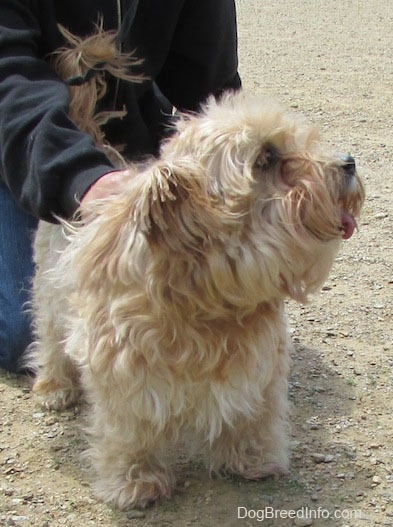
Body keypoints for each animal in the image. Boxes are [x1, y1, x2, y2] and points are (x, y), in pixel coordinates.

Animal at [28, 27, 364, 512]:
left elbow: (255, 415)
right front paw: (136, 481)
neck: (208, 304)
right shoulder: (120, 373)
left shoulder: (261, 366)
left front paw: (253, 458)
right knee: (49, 336)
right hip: (50, 294)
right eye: (266, 158)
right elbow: (129, 432)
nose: (348, 163)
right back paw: (54, 386)